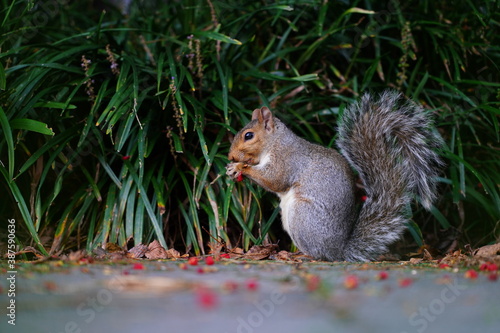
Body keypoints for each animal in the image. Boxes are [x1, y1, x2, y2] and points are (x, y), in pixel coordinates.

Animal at [225, 89, 444, 260]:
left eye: (249, 135)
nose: (230, 155)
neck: (274, 143)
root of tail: (338, 251)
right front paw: (234, 166)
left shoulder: (287, 160)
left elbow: (275, 180)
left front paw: (241, 167)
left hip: (303, 215)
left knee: (318, 254)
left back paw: (302, 255)